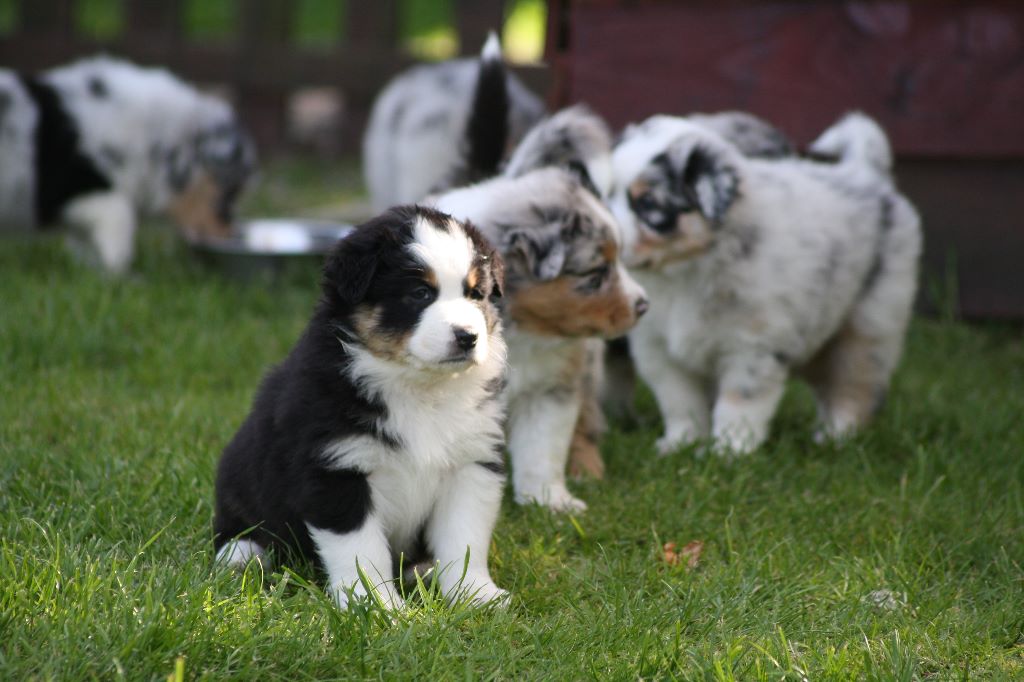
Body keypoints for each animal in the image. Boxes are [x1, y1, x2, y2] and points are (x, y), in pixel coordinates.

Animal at [214, 204, 509, 606]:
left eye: (476, 293)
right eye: (420, 293)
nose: (468, 337)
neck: (418, 387)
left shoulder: (470, 463)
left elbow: (464, 539)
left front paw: (475, 594)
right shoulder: (336, 469)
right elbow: (362, 551)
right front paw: (378, 605)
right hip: (239, 472)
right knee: (237, 526)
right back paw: (241, 555)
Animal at [432, 168, 647, 509]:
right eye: (597, 272)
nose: (643, 305)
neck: (521, 331)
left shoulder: (551, 387)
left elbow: (543, 447)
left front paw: (550, 501)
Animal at [606, 111, 921, 454]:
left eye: (648, 203)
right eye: (606, 195)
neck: (685, 269)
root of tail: (866, 173)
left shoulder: (753, 345)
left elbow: (738, 402)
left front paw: (729, 451)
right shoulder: (658, 348)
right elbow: (679, 400)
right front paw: (680, 444)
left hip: (869, 325)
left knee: (853, 387)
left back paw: (836, 436)